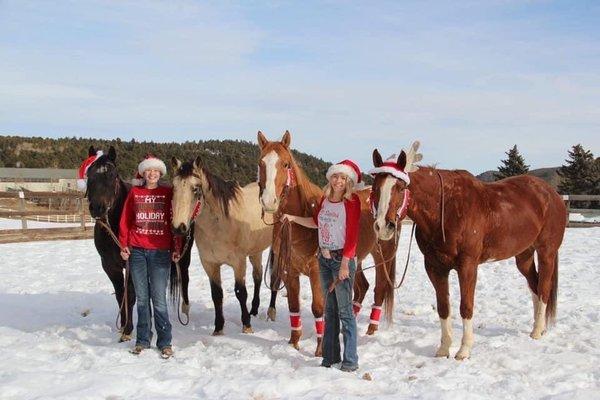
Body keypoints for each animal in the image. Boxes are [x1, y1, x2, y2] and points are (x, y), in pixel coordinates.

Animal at [82, 145, 193, 340]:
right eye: (89, 174)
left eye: (112, 174)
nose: (97, 208)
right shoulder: (110, 266)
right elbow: (121, 295)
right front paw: (124, 327)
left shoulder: (131, 262)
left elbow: (132, 295)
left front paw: (128, 329)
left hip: (184, 256)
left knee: (184, 279)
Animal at [169, 156, 272, 334]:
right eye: (174, 187)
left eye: (196, 189)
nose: (178, 227)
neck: (221, 224)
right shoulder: (210, 264)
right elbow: (216, 294)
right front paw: (218, 328)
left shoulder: (238, 262)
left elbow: (240, 292)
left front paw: (246, 325)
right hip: (255, 251)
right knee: (258, 276)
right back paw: (254, 310)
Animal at [254, 130, 398, 354]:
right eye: (261, 162)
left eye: (286, 164)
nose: (269, 201)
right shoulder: (289, 271)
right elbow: (294, 306)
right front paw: (294, 342)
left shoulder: (316, 271)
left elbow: (318, 308)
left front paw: (320, 349)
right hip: (354, 262)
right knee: (362, 288)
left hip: (383, 255)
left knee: (380, 288)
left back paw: (371, 329)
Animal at [370, 143, 568, 360]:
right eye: (375, 188)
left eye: (400, 187)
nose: (383, 226)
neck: (446, 208)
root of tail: (552, 193)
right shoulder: (435, 267)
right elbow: (443, 307)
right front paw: (444, 349)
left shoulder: (468, 265)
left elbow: (466, 306)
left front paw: (464, 350)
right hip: (523, 256)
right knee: (534, 284)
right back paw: (537, 328)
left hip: (546, 252)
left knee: (543, 288)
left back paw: (537, 330)